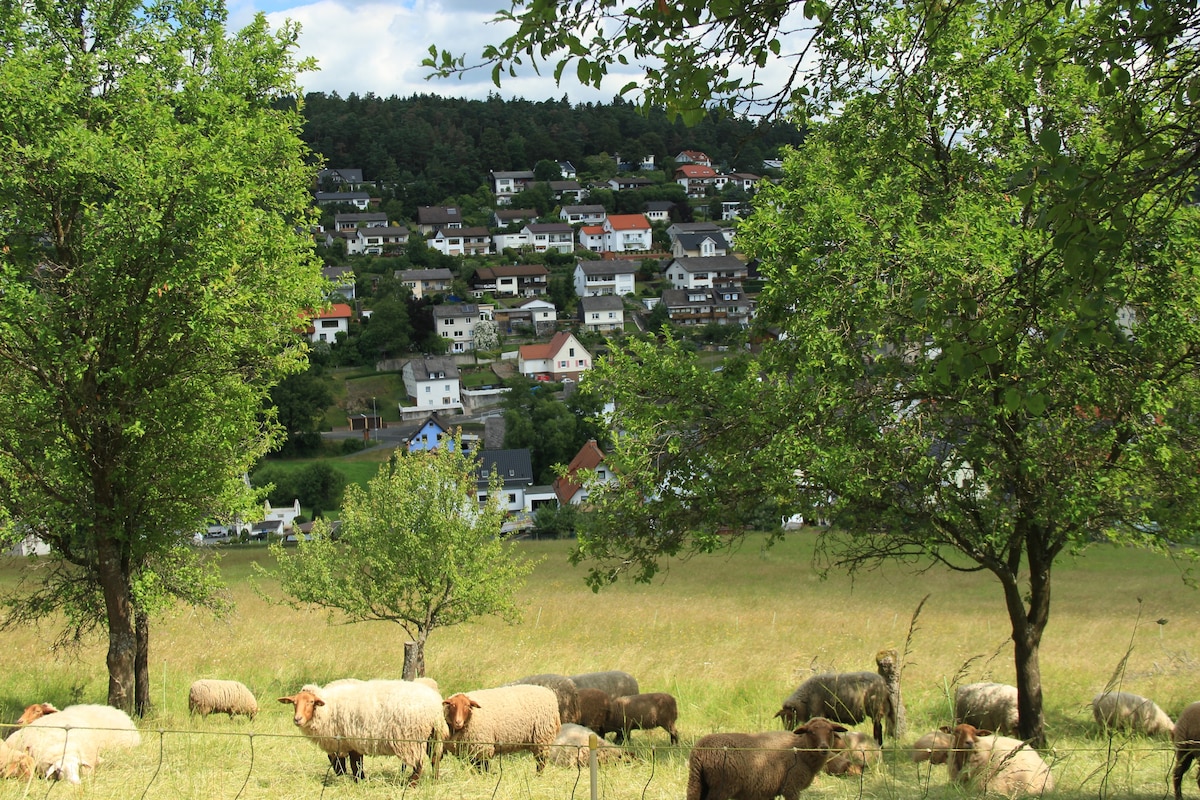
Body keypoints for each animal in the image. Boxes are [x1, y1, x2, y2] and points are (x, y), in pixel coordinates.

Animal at [278, 681, 448, 786]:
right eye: (294, 703)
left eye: (311, 702)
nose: (297, 719)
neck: (328, 708)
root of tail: (436, 707)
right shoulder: (348, 742)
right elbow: (347, 764)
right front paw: (355, 779)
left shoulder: (350, 739)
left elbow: (354, 765)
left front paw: (357, 780)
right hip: (431, 736)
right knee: (435, 758)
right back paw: (434, 780)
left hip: (413, 739)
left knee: (419, 764)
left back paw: (411, 784)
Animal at [691, 714, 849, 800]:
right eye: (811, 732)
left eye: (830, 731)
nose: (824, 748)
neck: (800, 749)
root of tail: (700, 750)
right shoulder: (791, 787)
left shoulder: (769, 790)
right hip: (722, 786)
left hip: (698, 782)